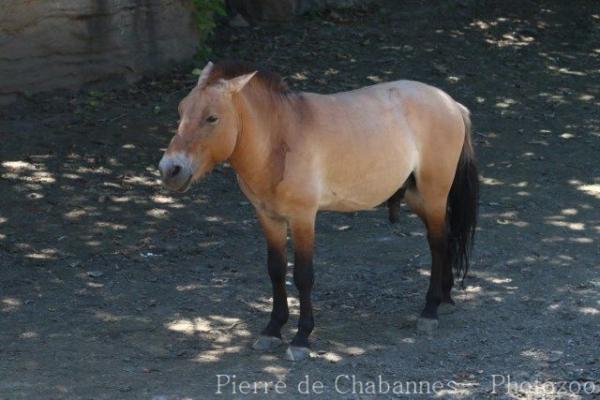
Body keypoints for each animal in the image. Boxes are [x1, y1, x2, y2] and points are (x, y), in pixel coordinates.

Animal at [158, 61, 478, 360]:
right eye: (181, 110)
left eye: (211, 117)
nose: (170, 169)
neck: (278, 141)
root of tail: (450, 103)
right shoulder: (268, 217)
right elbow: (275, 270)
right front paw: (273, 329)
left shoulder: (303, 218)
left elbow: (303, 275)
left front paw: (301, 338)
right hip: (417, 196)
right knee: (447, 236)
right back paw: (446, 297)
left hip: (434, 193)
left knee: (437, 243)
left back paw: (430, 310)